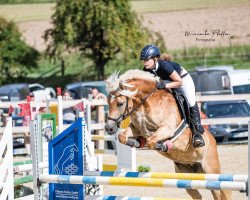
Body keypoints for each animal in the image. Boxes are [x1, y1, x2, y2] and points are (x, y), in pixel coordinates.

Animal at [104, 69, 231, 200]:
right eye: (107, 101)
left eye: (120, 103)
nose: (109, 128)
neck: (146, 103)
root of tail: (213, 141)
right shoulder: (136, 129)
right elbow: (122, 137)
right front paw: (136, 143)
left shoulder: (167, 129)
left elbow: (151, 141)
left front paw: (163, 146)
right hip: (186, 175)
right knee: (197, 195)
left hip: (210, 170)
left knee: (220, 191)